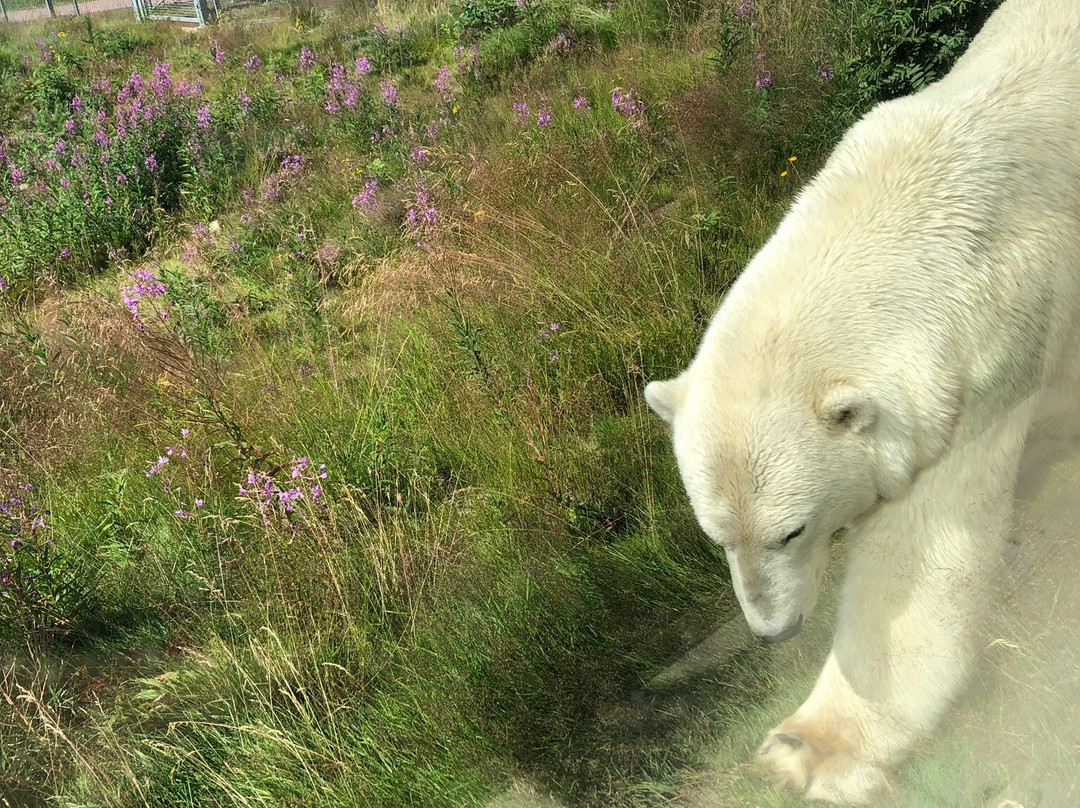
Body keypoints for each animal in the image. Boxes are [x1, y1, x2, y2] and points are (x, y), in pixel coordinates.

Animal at [639, 1, 1080, 803]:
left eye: (792, 530)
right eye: (717, 537)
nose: (772, 631)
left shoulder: (982, 371)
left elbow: (918, 559)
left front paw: (812, 749)